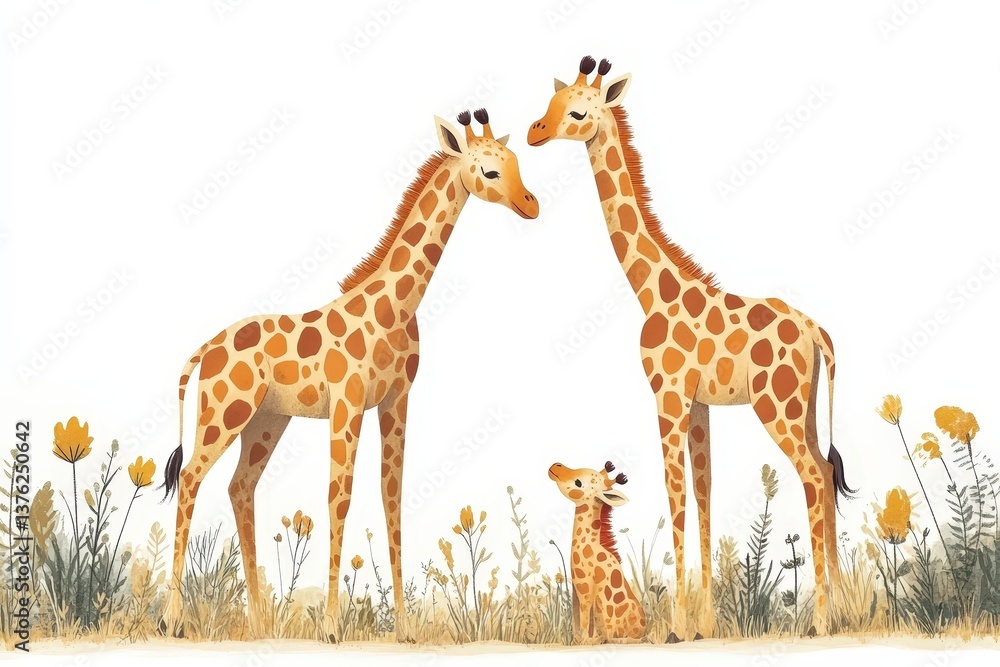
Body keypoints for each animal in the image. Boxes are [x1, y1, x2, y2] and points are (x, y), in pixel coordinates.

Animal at [159, 109, 538, 639]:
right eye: (489, 170)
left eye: (517, 162)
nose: (531, 204)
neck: (397, 307)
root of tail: (203, 351)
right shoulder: (347, 402)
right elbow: (339, 497)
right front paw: (332, 627)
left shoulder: (396, 400)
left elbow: (391, 497)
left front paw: (405, 629)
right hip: (225, 412)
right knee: (192, 477)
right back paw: (170, 618)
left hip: (267, 420)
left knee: (239, 487)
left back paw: (258, 622)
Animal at [549, 460, 646, 644]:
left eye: (578, 482)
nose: (555, 466)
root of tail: (644, 627)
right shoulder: (576, 588)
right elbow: (578, 620)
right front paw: (578, 641)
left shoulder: (585, 587)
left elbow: (585, 619)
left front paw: (586, 642)